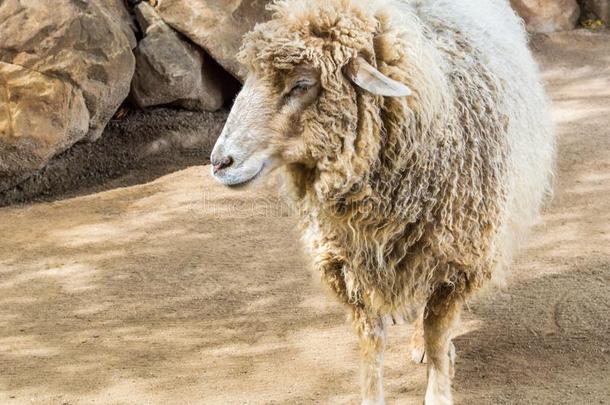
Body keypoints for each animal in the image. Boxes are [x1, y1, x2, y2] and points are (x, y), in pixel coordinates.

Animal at [209, 0, 556, 400]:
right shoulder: (346, 263)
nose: (219, 162)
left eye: (302, 84)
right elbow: (371, 344)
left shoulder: (458, 259)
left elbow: (438, 333)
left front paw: (438, 386)